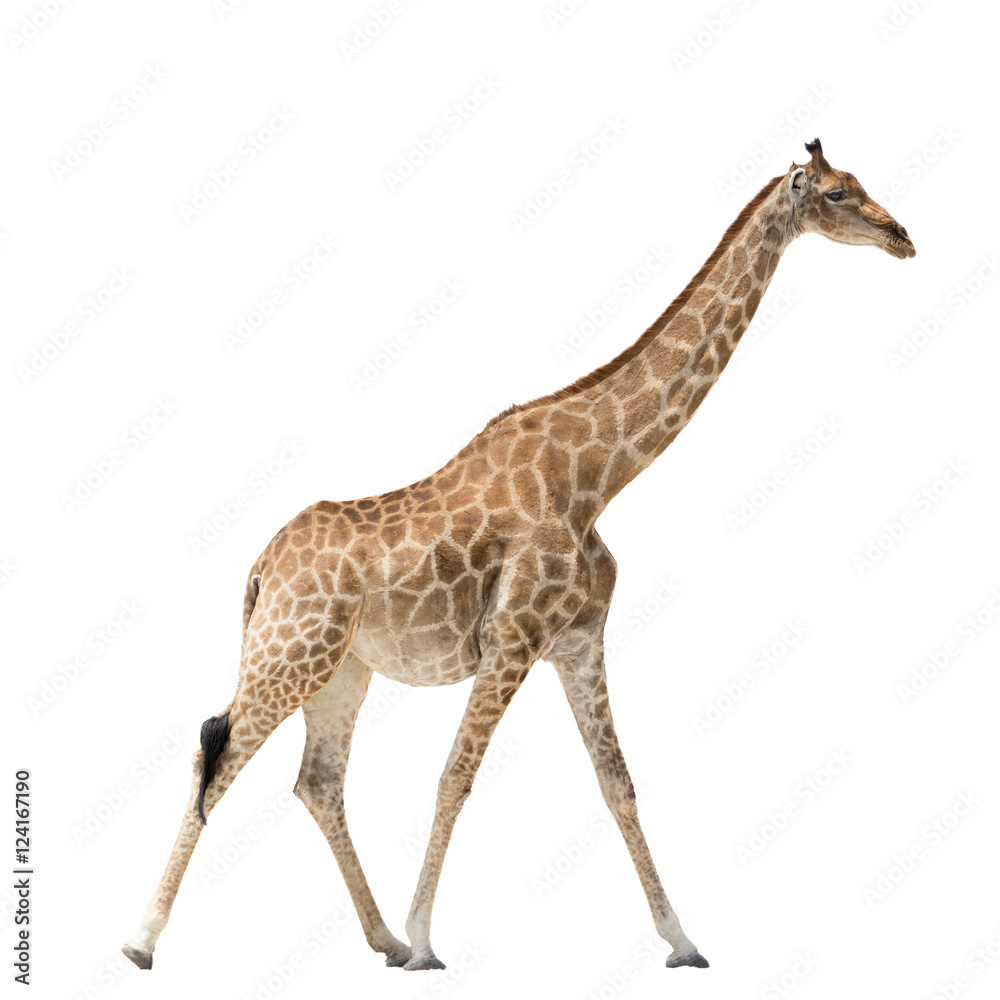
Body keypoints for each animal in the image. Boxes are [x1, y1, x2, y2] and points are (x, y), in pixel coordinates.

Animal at [122, 139, 914, 973]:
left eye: (859, 184)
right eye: (834, 193)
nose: (903, 237)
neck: (598, 476)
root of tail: (260, 567)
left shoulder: (578, 638)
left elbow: (616, 783)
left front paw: (682, 940)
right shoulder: (513, 636)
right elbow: (455, 777)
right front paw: (428, 941)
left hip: (343, 670)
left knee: (317, 782)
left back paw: (379, 938)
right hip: (291, 652)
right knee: (217, 753)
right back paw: (144, 940)